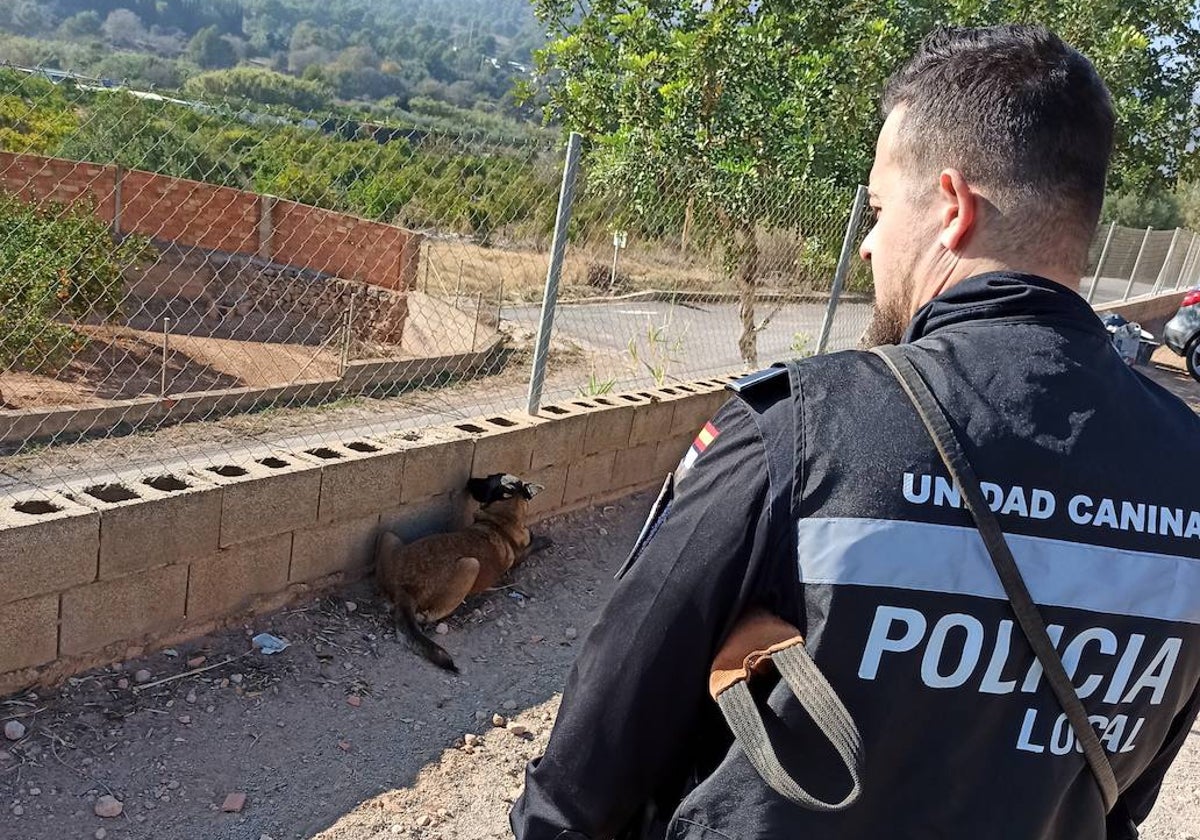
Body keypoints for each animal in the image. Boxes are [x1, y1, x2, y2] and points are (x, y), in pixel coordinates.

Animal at [374, 475, 544, 672]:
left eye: (488, 479)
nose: (469, 480)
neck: (501, 521)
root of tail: (403, 587)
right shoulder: (519, 555)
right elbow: (532, 545)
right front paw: (543, 540)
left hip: (389, 535)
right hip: (471, 565)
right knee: (426, 617)